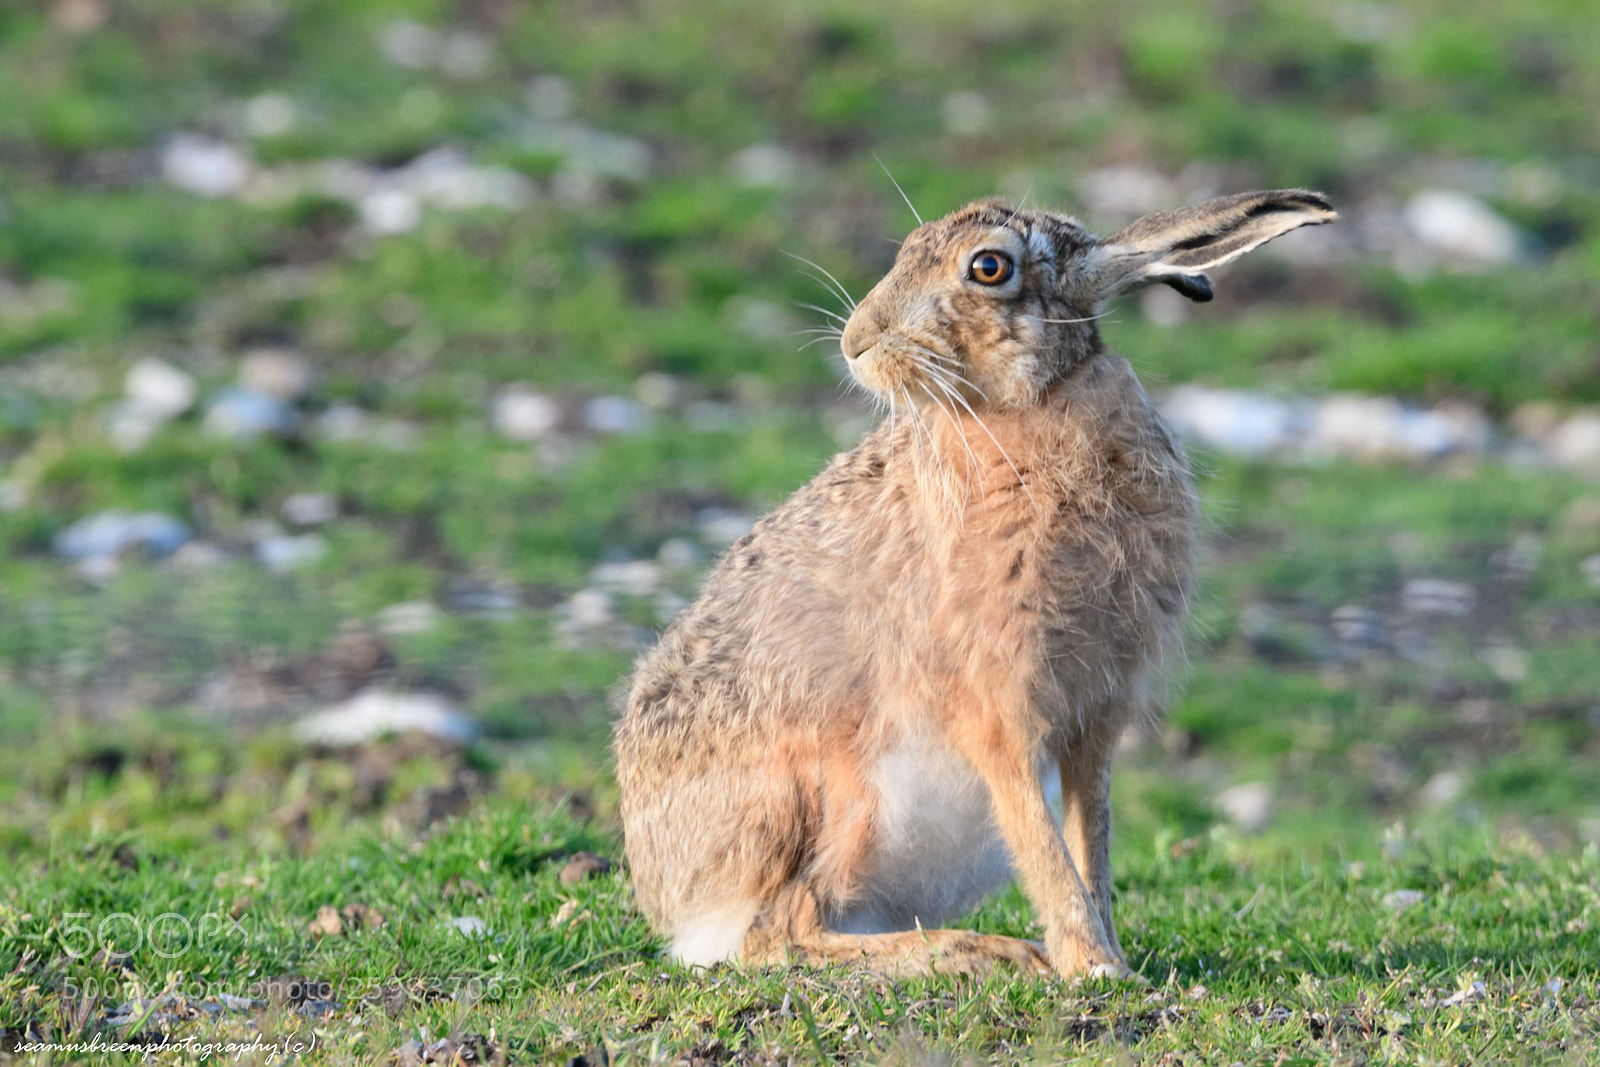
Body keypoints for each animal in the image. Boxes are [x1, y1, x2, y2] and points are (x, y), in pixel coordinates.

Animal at [614, 189, 1336, 977]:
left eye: (988, 268)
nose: (856, 342)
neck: (1034, 405)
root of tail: (678, 906)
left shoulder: (1095, 713)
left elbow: (1090, 839)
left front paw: (1108, 955)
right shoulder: (998, 702)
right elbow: (1040, 839)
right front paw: (1092, 965)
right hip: (843, 794)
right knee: (783, 928)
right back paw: (979, 951)